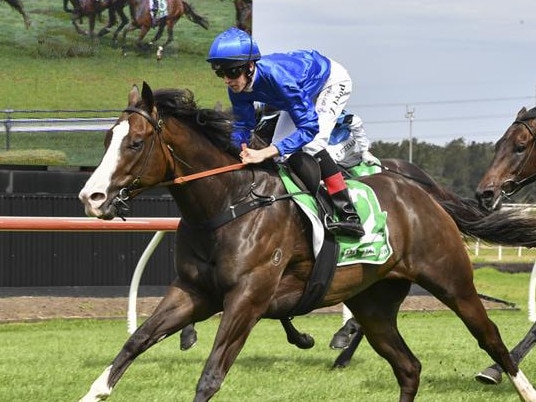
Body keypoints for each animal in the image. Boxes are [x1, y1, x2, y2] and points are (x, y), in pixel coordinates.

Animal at [78, 83, 536, 400]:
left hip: (452, 281)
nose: (91, 197)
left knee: (490, 338)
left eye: (135, 143)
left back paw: (512, 382)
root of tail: (422, 193)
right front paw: (95, 389)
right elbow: (135, 341)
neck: (229, 202)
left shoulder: (247, 297)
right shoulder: (193, 291)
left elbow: (210, 375)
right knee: (408, 367)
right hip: (374, 303)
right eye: (105, 140)